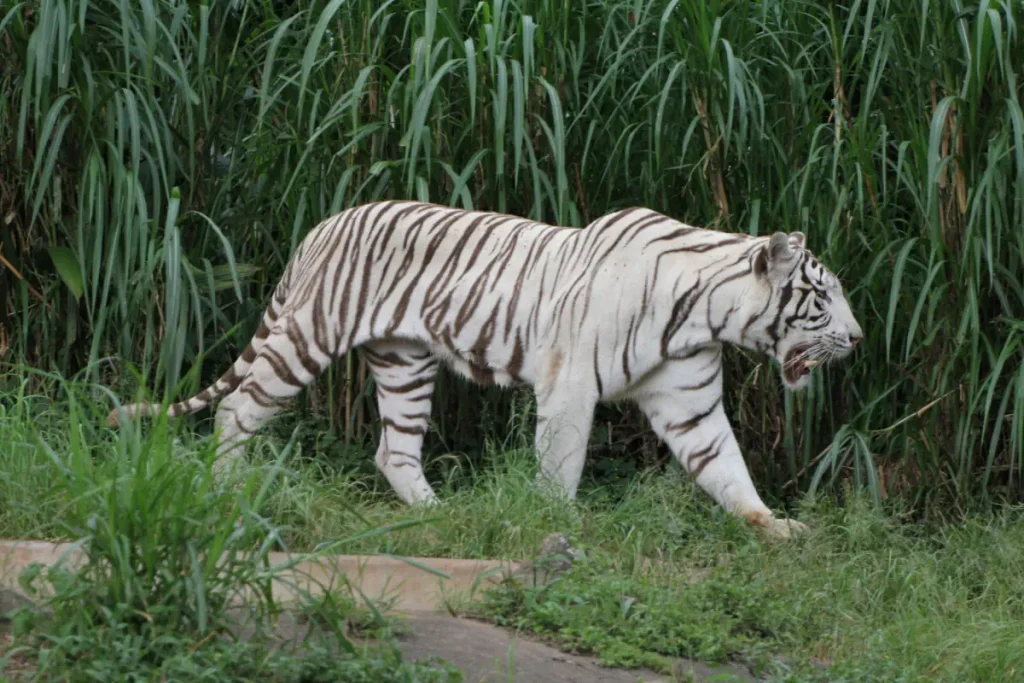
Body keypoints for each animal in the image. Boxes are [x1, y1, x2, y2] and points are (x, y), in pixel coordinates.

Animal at [108, 201, 860, 540]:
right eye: (821, 299)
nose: (856, 339)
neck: (704, 314)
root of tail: (323, 224)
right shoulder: (569, 384)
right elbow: (561, 463)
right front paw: (555, 525)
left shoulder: (691, 401)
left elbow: (726, 466)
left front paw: (774, 526)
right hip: (309, 336)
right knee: (239, 407)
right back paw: (225, 488)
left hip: (405, 365)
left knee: (394, 449)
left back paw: (437, 514)